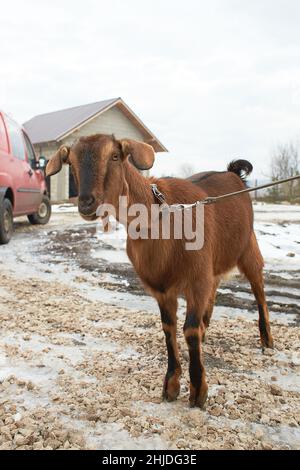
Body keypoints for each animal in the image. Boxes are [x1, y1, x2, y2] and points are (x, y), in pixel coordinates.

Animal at [47, 135, 274, 408]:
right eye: (71, 162)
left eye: (115, 156)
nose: (86, 203)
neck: (159, 220)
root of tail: (232, 172)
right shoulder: (162, 288)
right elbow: (168, 328)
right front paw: (171, 385)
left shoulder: (196, 278)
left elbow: (188, 329)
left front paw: (198, 390)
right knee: (215, 289)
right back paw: (207, 329)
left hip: (248, 247)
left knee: (258, 289)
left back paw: (267, 340)